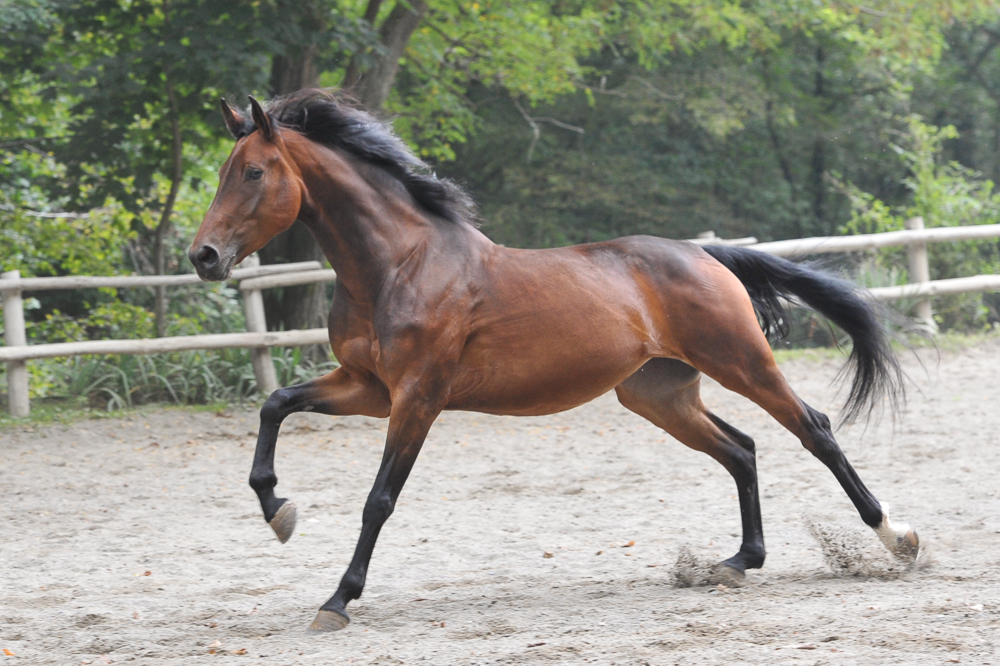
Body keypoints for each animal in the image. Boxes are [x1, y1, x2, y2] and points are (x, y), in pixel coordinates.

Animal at [189, 89, 918, 632]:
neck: (401, 263)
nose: (204, 257)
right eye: (225, 171)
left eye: (253, 172)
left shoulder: (417, 398)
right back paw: (738, 561)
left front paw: (338, 599)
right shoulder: (367, 387)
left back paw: (897, 539)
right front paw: (278, 511)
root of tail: (705, 253)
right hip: (658, 394)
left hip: (741, 362)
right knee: (741, 449)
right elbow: (276, 405)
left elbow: (379, 500)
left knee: (814, 430)